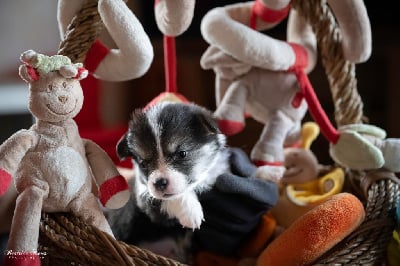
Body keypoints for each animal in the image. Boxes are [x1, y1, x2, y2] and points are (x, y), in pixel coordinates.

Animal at [115, 101, 228, 230]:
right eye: (143, 164)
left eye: (182, 153)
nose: (159, 183)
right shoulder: (144, 195)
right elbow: (171, 197)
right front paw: (190, 212)